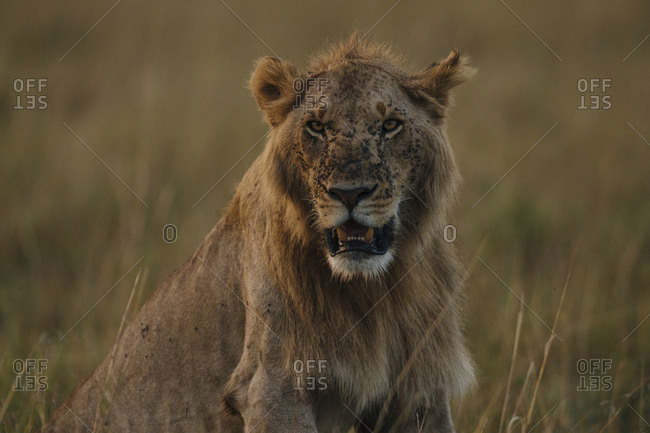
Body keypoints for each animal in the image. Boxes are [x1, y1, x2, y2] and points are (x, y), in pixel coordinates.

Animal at [40, 35, 475, 433]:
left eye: (390, 125)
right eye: (317, 126)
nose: (349, 192)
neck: (372, 289)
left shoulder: (420, 390)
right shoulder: (272, 386)